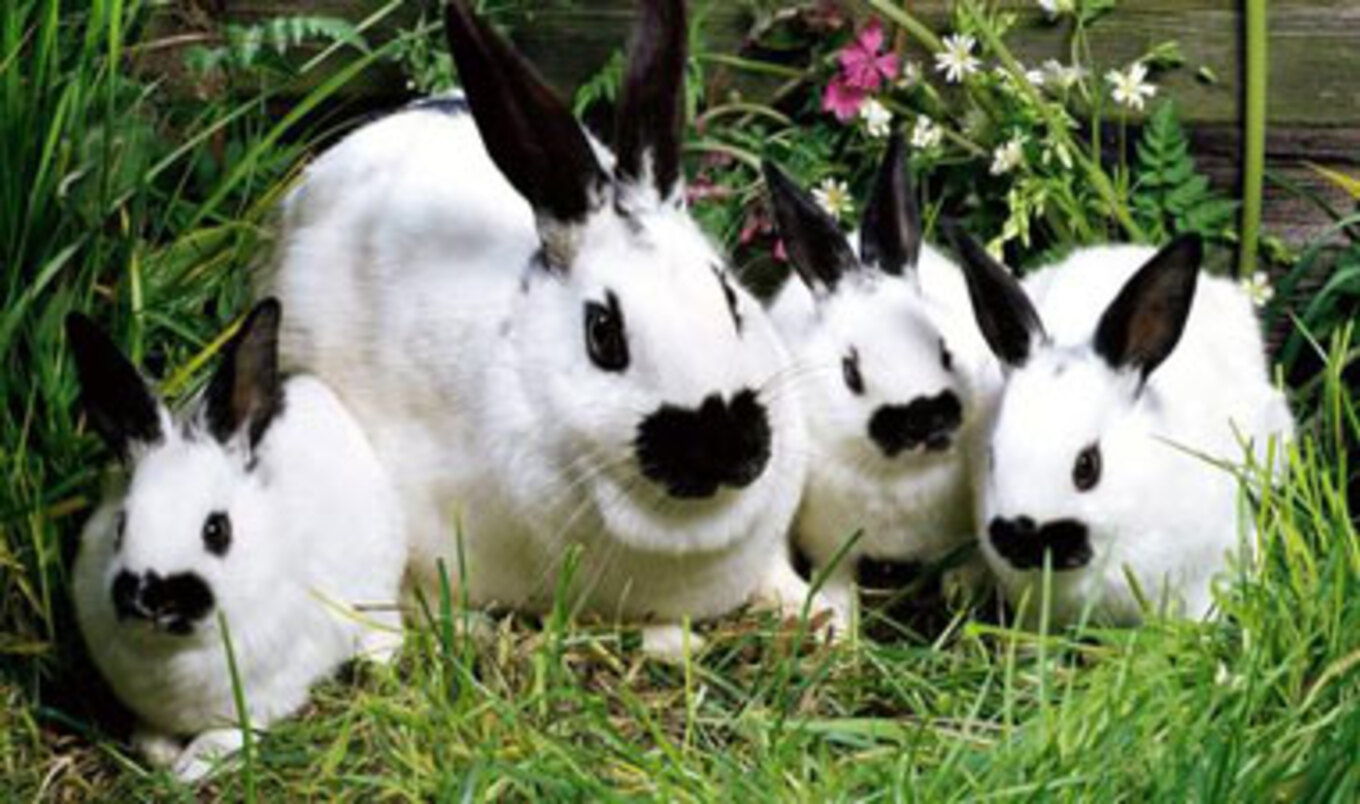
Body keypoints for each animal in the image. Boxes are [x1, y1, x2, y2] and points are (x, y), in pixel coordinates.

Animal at [67, 299, 405, 781]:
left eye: (217, 530)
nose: (153, 598)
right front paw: (157, 751)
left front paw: (188, 768)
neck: (176, 652)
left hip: (377, 575)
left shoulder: (266, 693)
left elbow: (229, 735)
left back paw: (375, 659)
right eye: (120, 526)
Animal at [760, 134, 1002, 634]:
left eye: (944, 349)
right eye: (850, 372)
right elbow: (836, 582)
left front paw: (961, 599)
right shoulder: (832, 543)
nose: (922, 417)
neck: (903, 475)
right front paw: (837, 630)